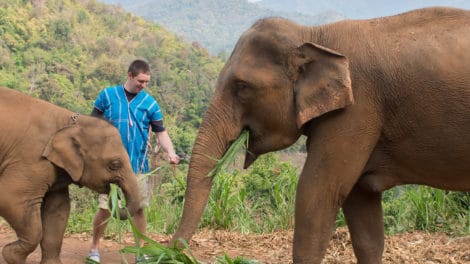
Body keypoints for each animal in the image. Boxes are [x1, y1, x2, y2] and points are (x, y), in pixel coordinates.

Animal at [0, 87, 141, 264]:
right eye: (115, 164)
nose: (116, 195)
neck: (70, 122)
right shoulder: (31, 158)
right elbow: (11, 198)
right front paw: (11, 256)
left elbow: (58, 209)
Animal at [172, 6, 470, 264]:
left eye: (242, 86)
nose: (173, 250)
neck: (314, 36)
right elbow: (360, 201)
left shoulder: (356, 109)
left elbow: (319, 191)